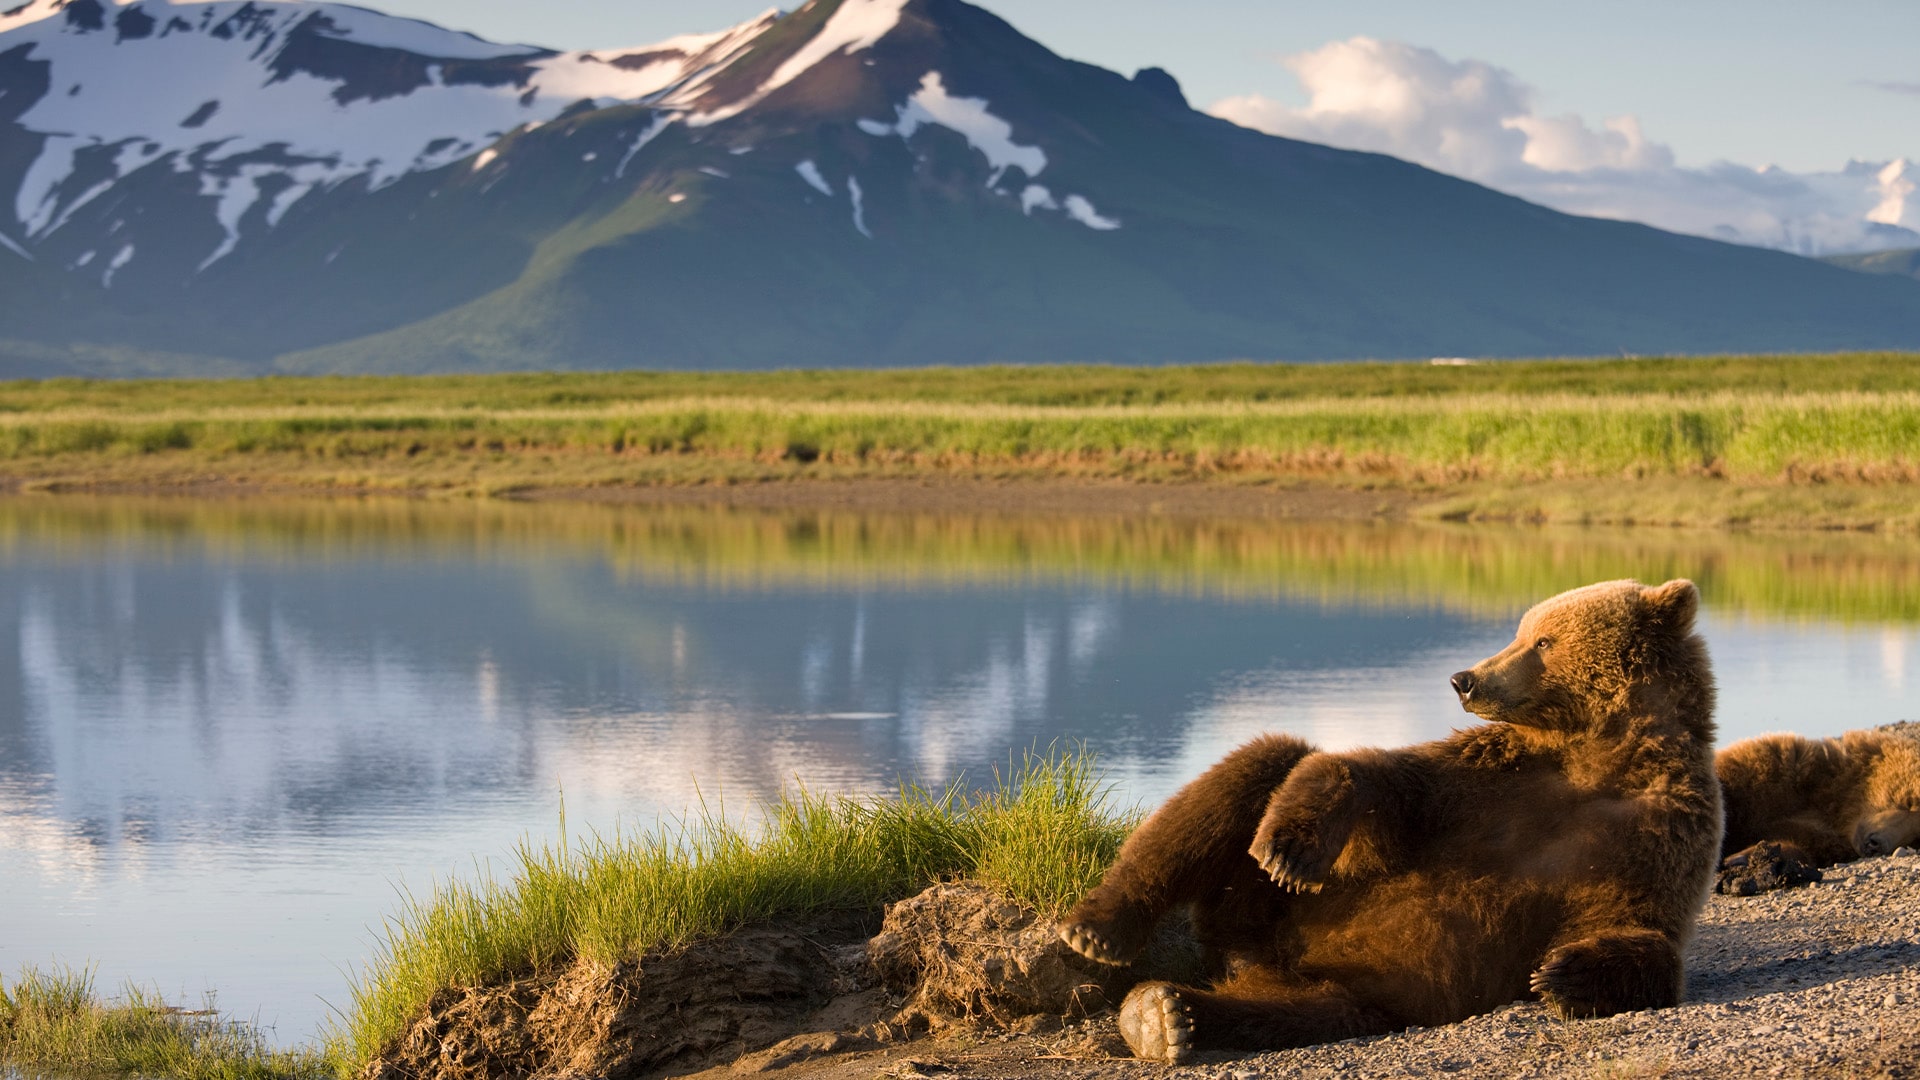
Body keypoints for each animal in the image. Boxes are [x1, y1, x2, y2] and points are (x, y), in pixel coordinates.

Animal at [1057, 579, 1721, 1062]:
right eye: (1522, 630)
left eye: (1543, 641)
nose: (1465, 679)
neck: (1594, 757)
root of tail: (1253, 957)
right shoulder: (1490, 782)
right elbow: (1386, 785)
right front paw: (1289, 849)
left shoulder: (1656, 832)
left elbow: (1640, 925)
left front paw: (1564, 974)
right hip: (1262, 905)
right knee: (1259, 764)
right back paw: (1099, 931)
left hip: (1348, 984)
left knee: (1295, 1011)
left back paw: (1166, 1016)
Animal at [1714, 728, 1920, 894]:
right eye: (1907, 800)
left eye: (1915, 838)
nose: (1876, 844)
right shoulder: (1773, 772)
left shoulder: (1825, 841)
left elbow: (1798, 848)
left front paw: (1749, 861)